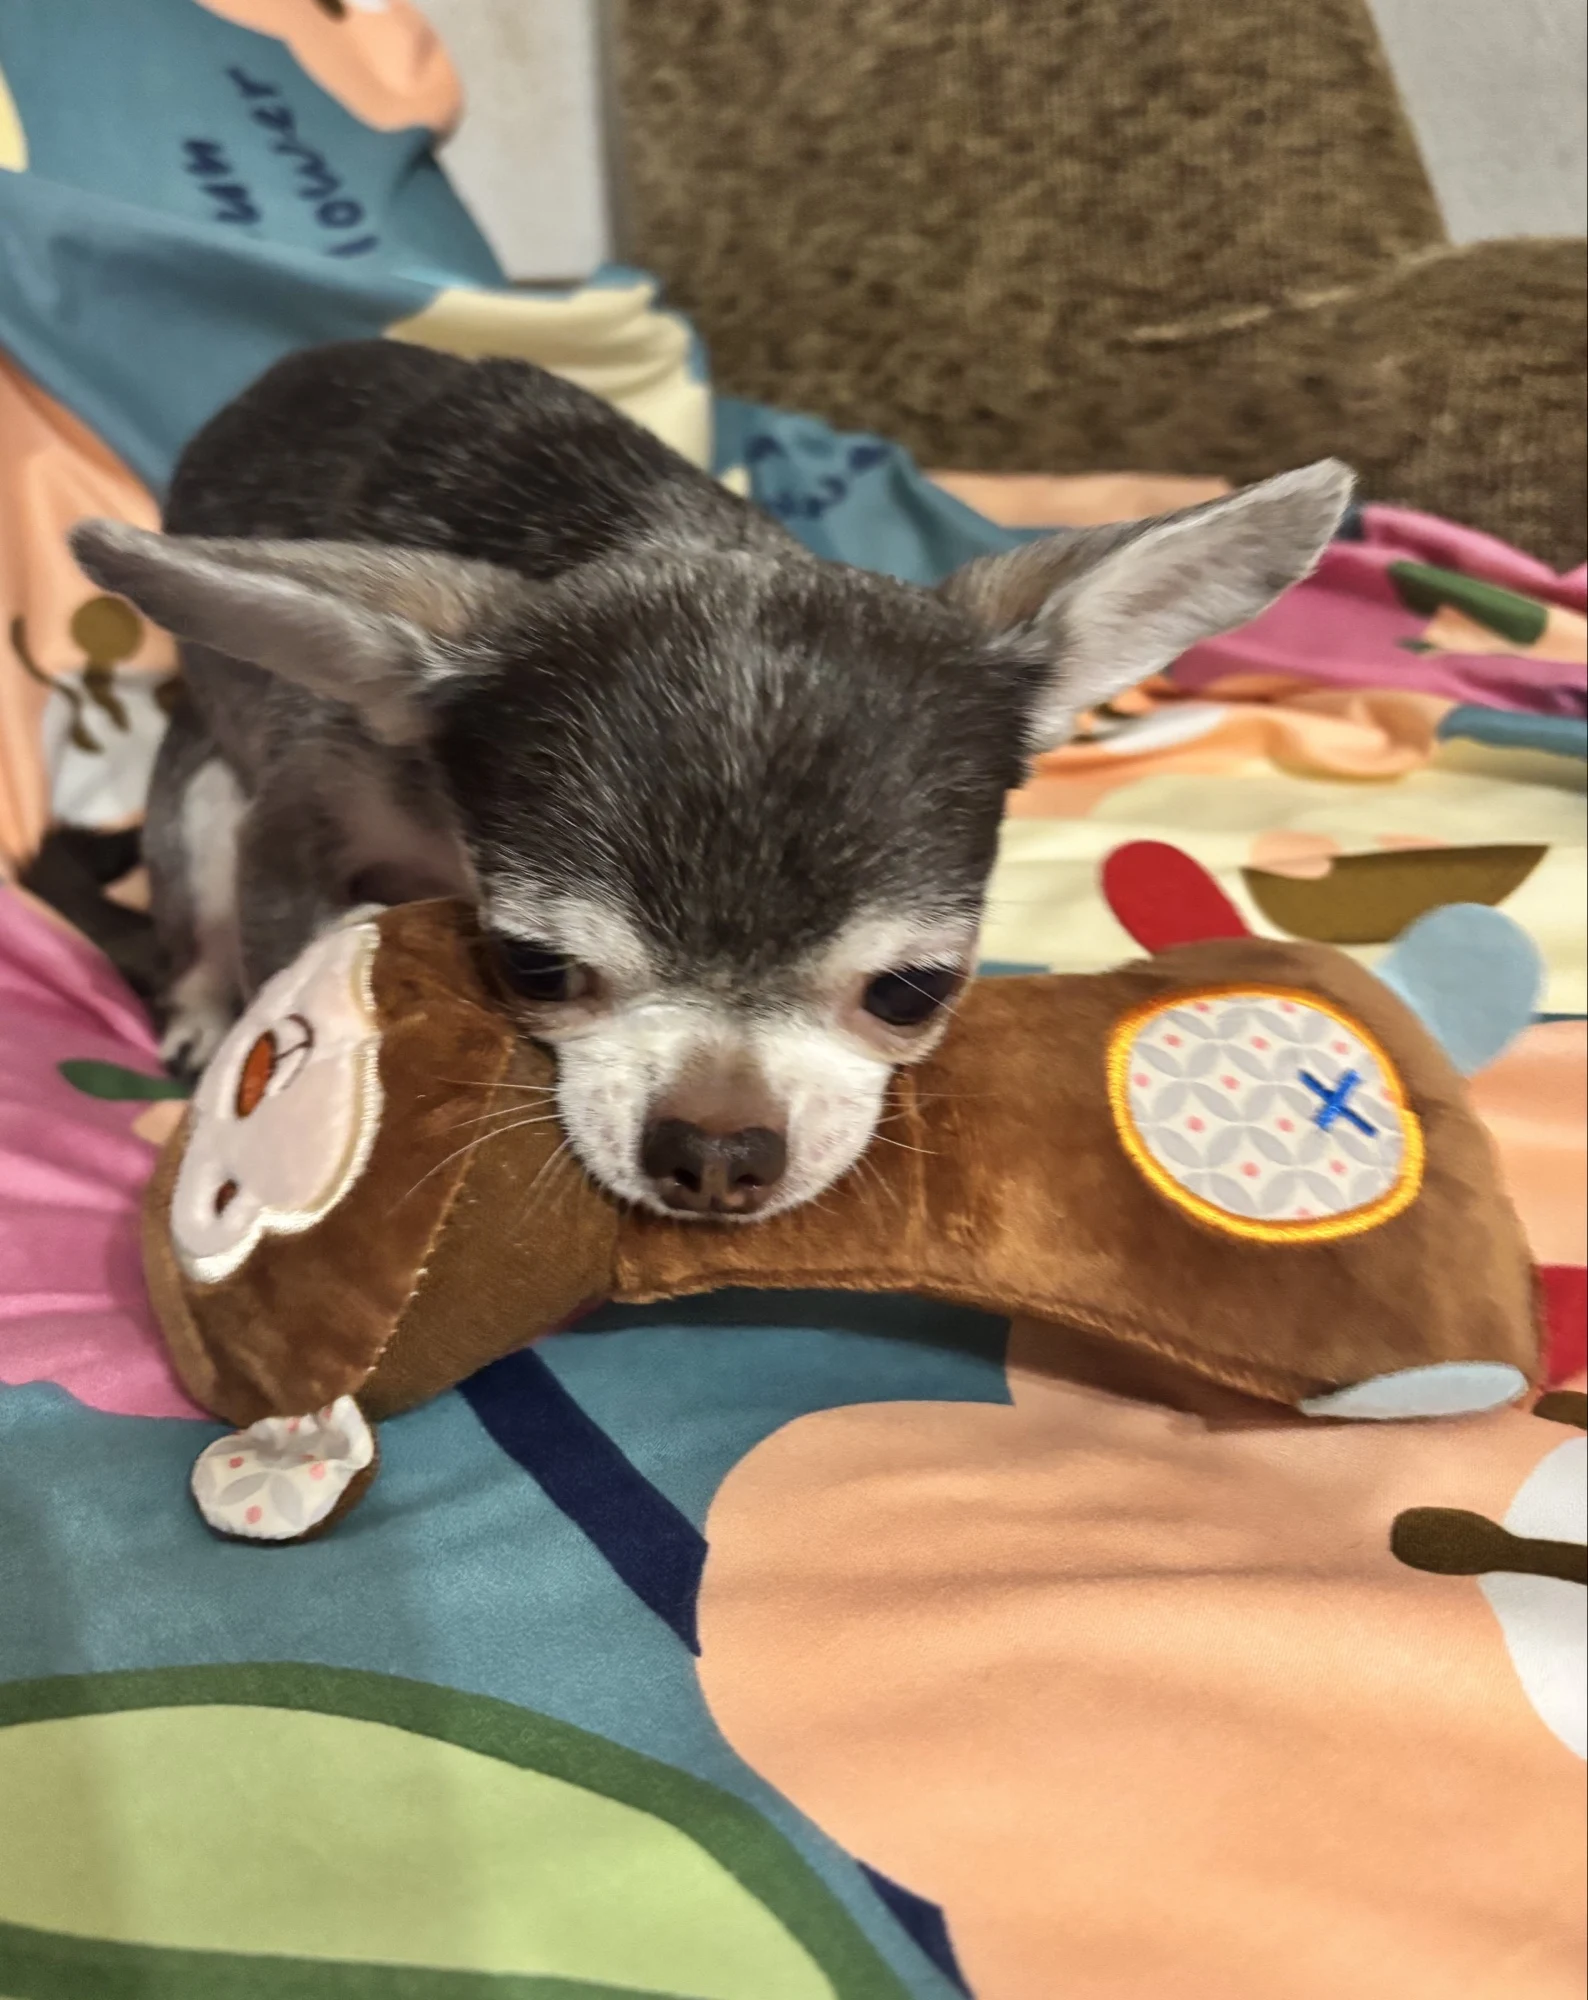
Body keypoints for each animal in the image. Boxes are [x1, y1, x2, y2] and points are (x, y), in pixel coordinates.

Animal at [70, 341, 1350, 1221]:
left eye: (913, 992)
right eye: (534, 967)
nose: (719, 1148)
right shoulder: (302, 814)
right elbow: (282, 944)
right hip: (200, 803)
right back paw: (195, 1011)